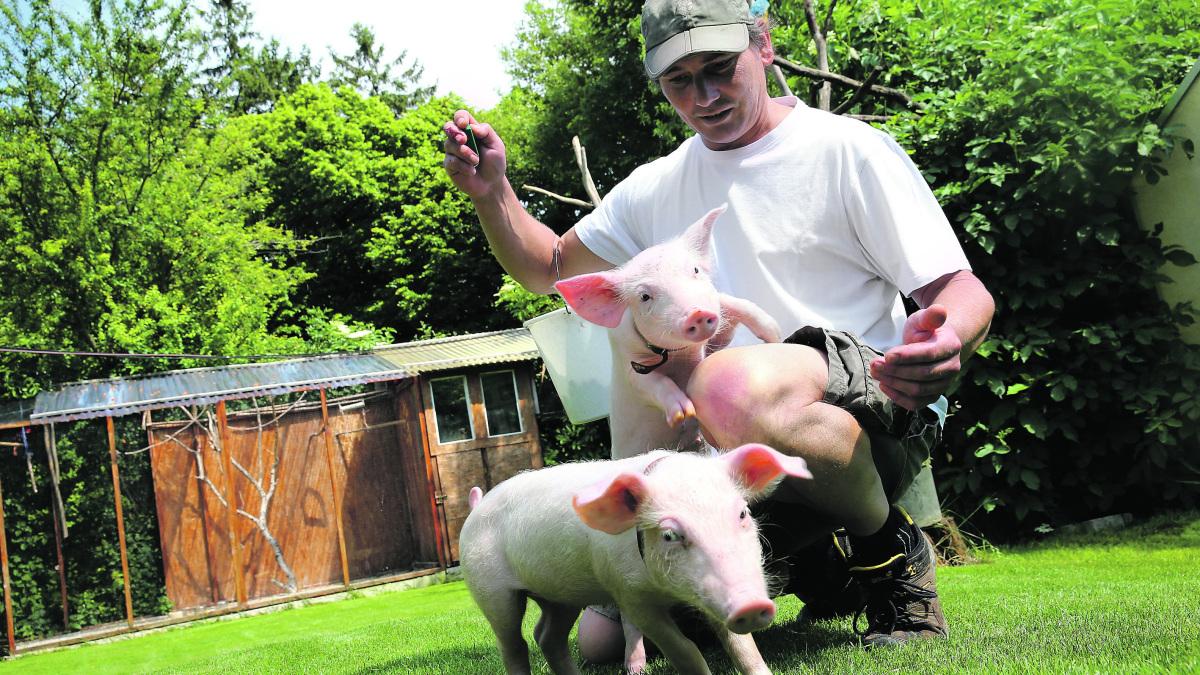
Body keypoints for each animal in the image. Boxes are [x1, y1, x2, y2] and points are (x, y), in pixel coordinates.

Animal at [459, 443, 813, 675]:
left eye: (742, 513)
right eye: (670, 535)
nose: (750, 606)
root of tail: (476, 506)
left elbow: (744, 648)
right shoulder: (628, 593)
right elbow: (684, 649)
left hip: (561, 597)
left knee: (547, 637)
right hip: (489, 588)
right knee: (514, 645)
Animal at [554, 204, 782, 459]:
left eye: (695, 270)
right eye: (644, 296)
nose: (697, 313)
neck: (680, 357)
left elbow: (734, 303)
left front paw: (774, 335)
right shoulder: (631, 371)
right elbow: (656, 383)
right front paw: (684, 412)